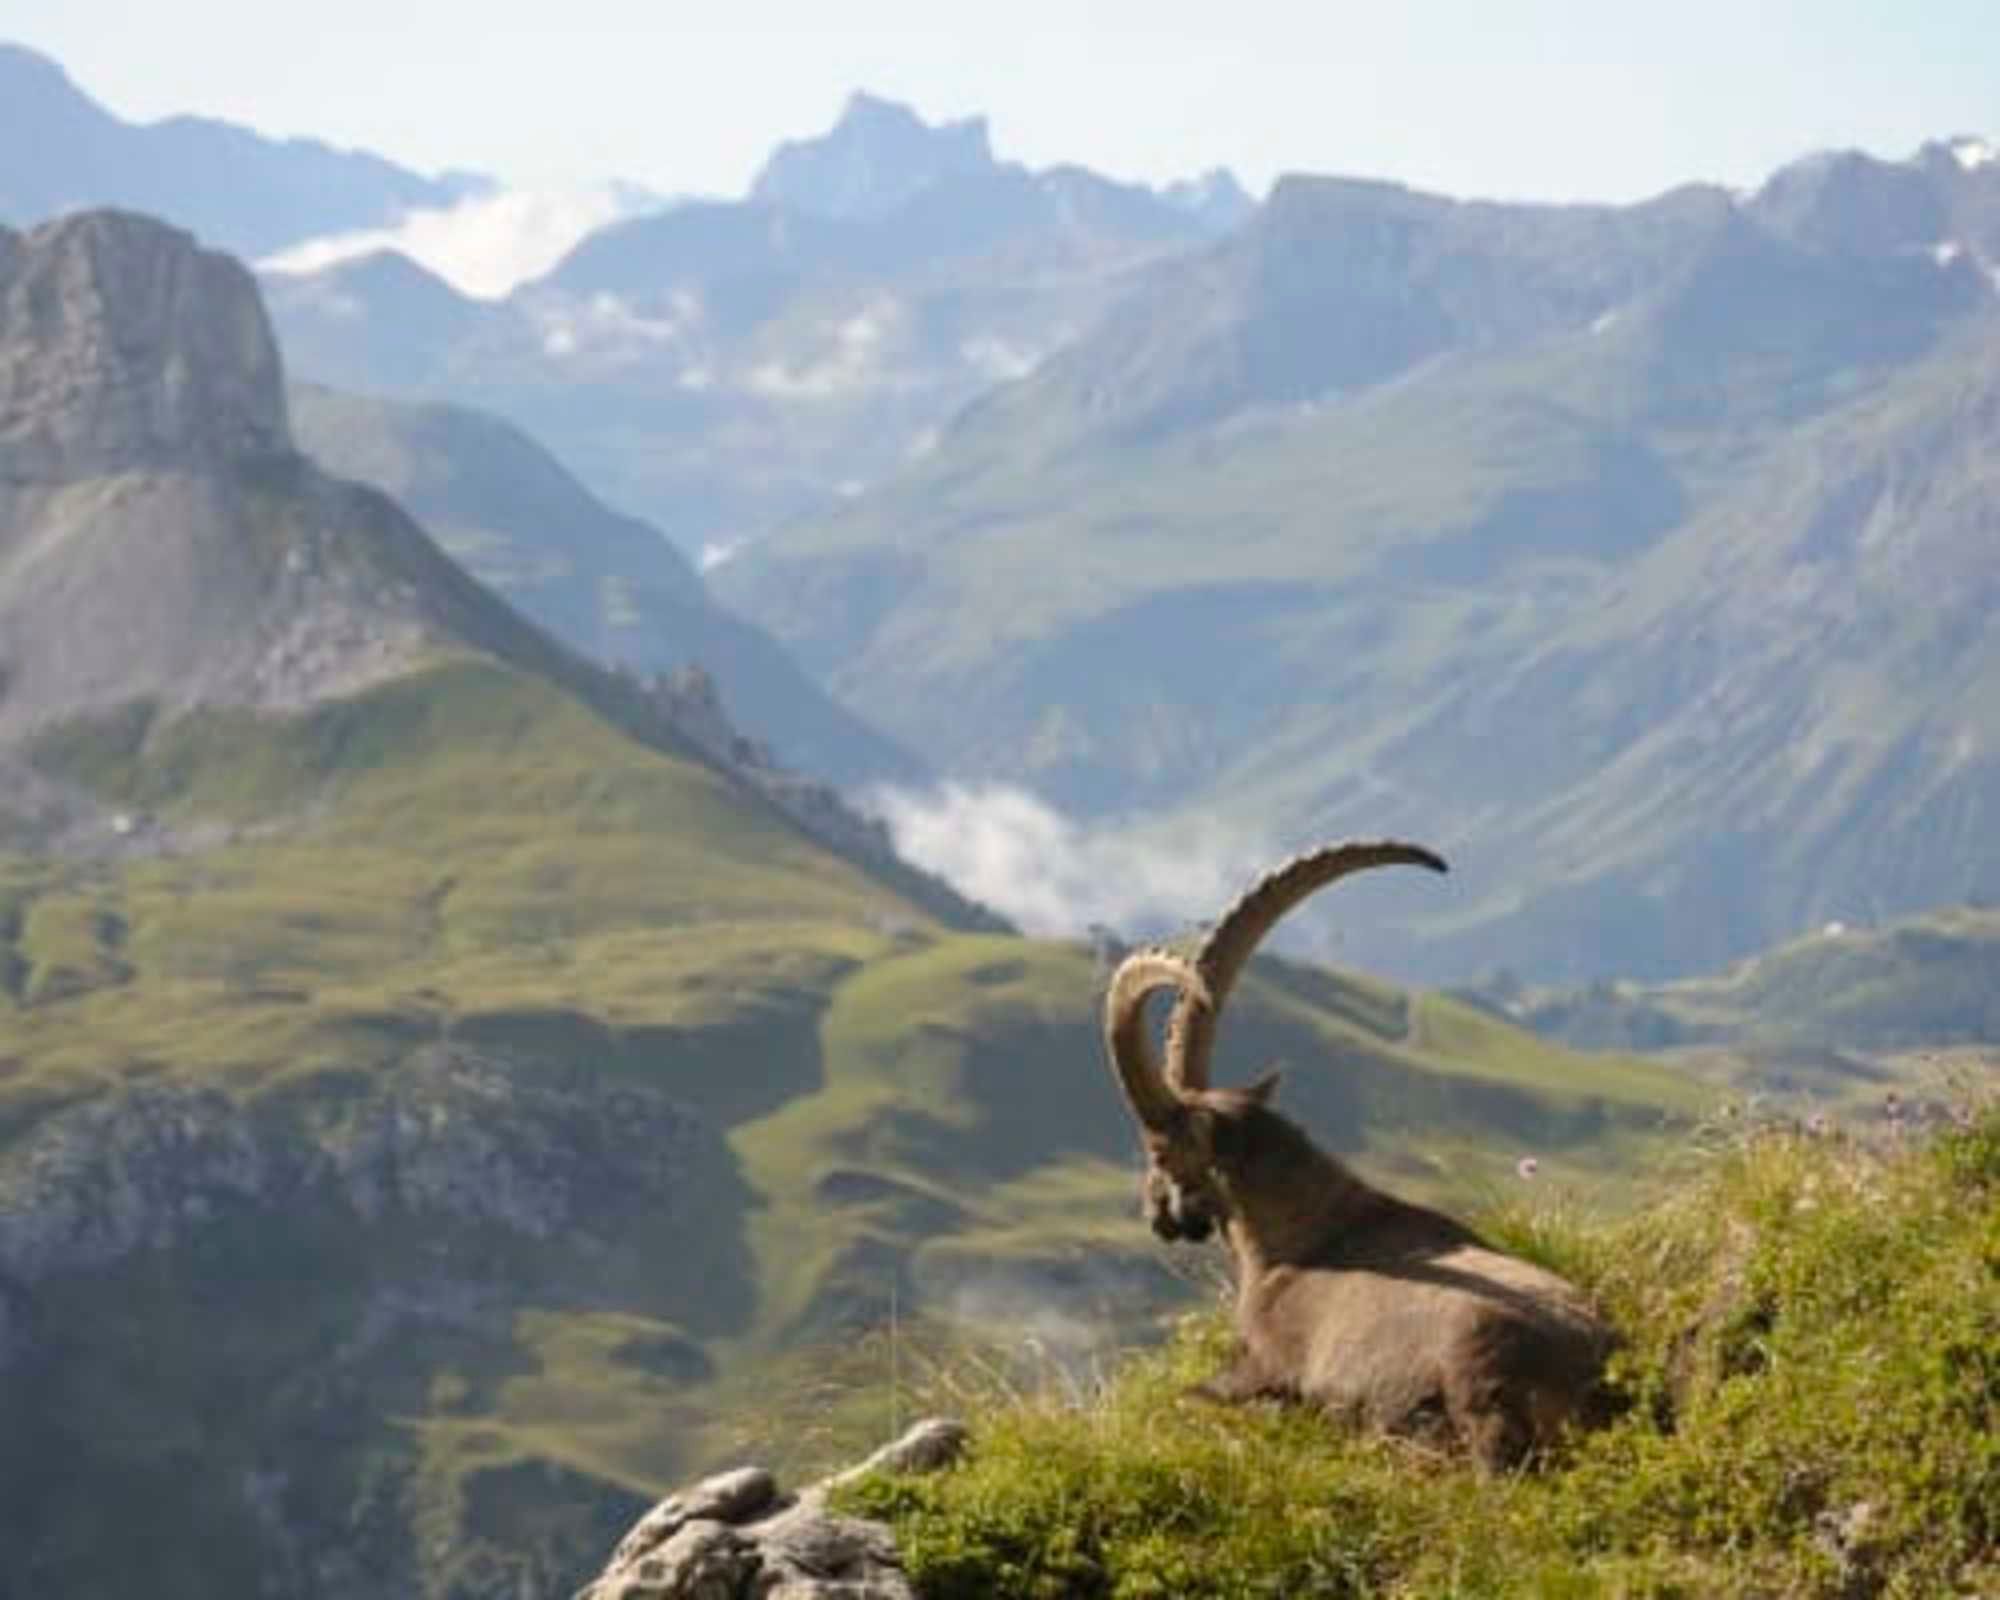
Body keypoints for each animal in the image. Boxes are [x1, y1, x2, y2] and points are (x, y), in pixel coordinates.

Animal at [1103, 841, 1613, 1469]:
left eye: (1158, 1151)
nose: (1156, 1217)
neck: (1303, 1237)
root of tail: (1597, 1375)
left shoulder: (1266, 1361)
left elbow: (1200, 1393)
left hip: (1474, 1372)